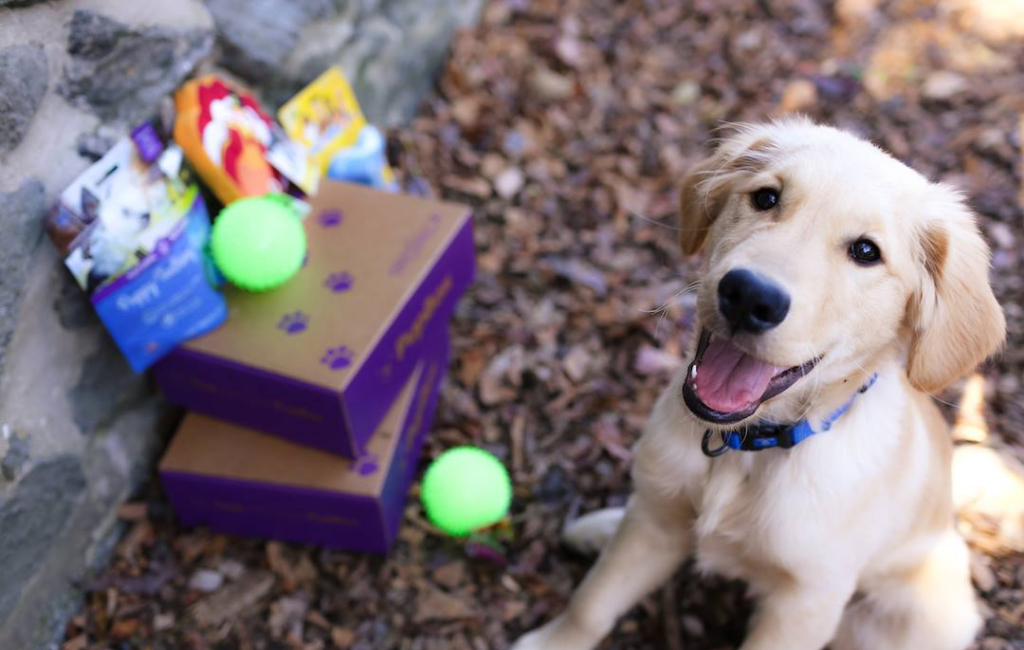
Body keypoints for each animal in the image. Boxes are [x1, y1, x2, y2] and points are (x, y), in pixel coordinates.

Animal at [512, 119, 999, 650]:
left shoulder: (805, 603)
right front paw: (553, 641)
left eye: (866, 252)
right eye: (766, 197)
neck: (746, 449)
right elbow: (593, 602)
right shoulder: (650, 530)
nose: (749, 296)